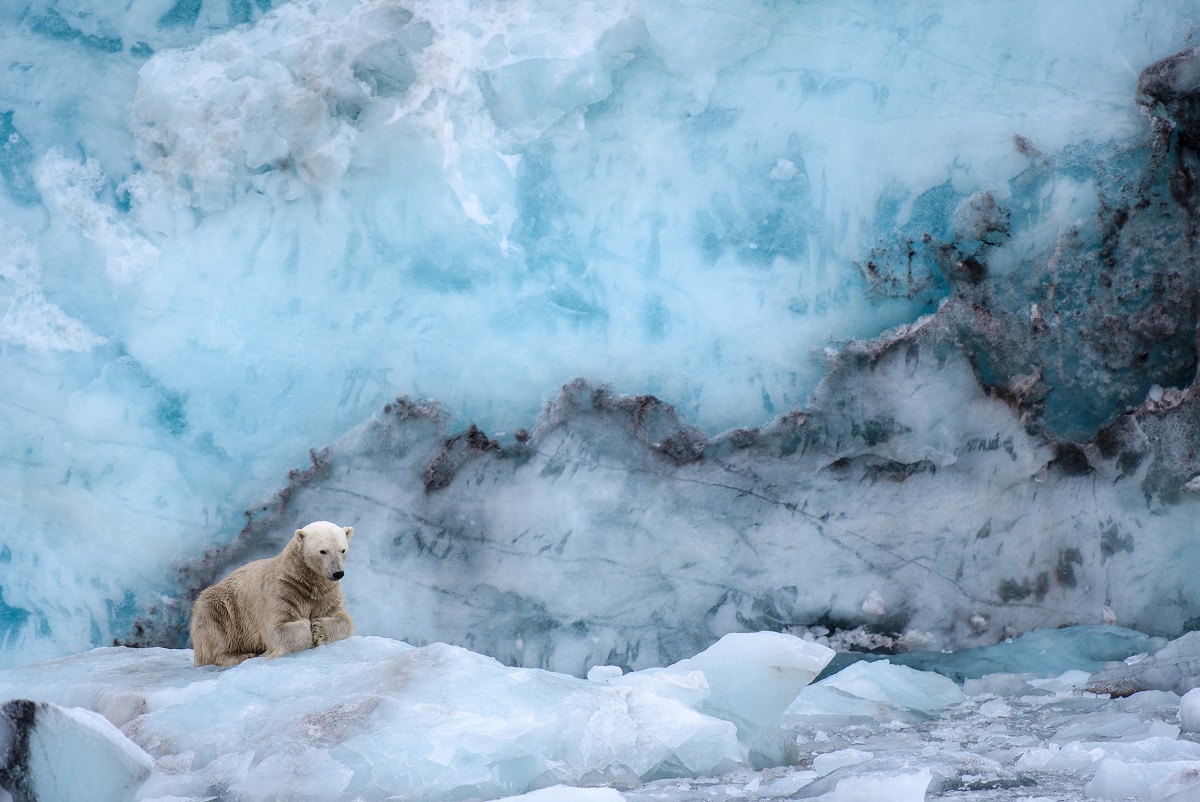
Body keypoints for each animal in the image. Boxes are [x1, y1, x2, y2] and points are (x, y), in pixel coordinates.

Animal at [189, 516, 352, 667]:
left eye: (342, 550)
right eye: (323, 551)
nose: (338, 573)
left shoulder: (327, 594)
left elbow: (344, 620)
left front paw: (318, 628)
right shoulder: (281, 591)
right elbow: (276, 629)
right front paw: (307, 625)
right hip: (223, 606)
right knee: (215, 627)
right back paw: (240, 655)